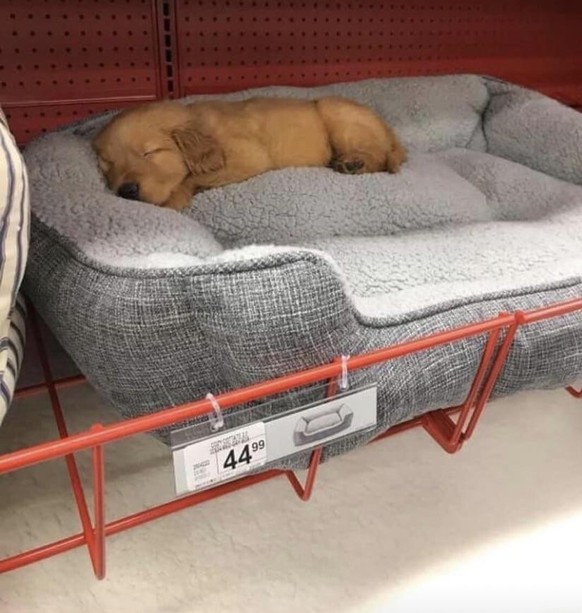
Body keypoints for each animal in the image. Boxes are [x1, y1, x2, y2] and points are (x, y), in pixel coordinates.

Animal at [93, 95, 408, 210]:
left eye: (150, 153)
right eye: (107, 165)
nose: (126, 191)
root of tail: (388, 128)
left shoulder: (249, 157)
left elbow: (190, 178)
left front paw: (173, 200)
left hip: (335, 112)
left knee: (380, 156)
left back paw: (355, 163)